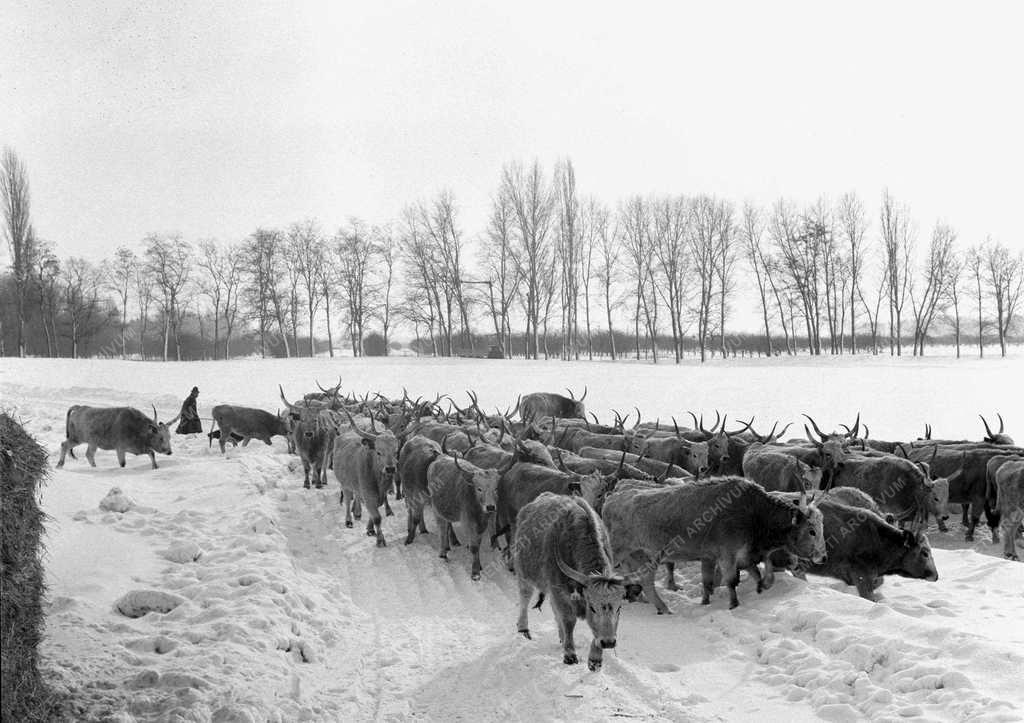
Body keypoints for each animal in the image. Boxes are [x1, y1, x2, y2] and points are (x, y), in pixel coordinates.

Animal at [512, 493, 622, 667]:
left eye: (619, 608)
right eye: (592, 607)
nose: (609, 642)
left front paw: (595, 659)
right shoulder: (559, 592)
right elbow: (569, 620)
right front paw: (570, 654)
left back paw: (561, 637)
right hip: (524, 575)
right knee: (524, 598)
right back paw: (523, 629)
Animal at [602, 479, 827, 606]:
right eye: (812, 531)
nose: (823, 557)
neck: (754, 513)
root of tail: (611, 499)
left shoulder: (717, 557)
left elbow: (713, 582)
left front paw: (706, 601)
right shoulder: (727, 555)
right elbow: (731, 580)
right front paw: (733, 604)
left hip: (637, 555)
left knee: (639, 578)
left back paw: (644, 600)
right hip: (618, 551)